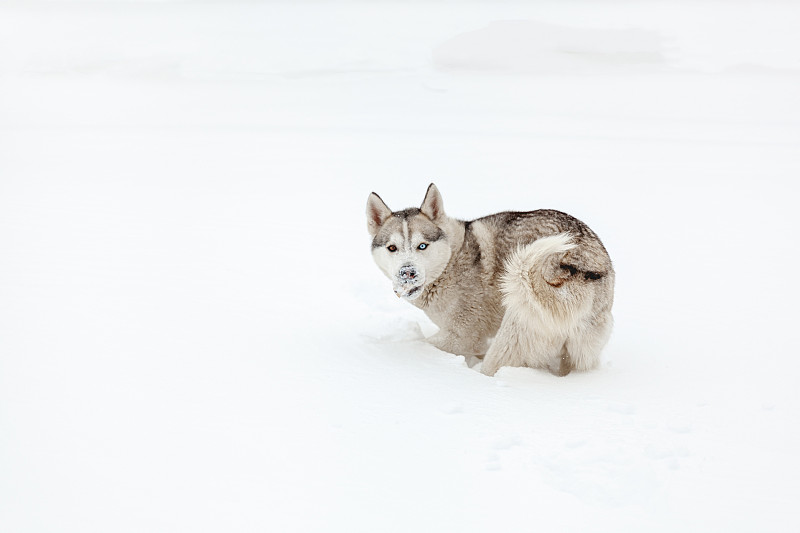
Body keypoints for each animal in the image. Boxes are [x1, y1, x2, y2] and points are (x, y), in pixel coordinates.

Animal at [366, 185, 616, 376]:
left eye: (422, 246)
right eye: (392, 248)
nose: (407, 272)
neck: (451, 260)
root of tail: (573, 266)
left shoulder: (462, 337)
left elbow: (420, 344)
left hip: (510, 339)